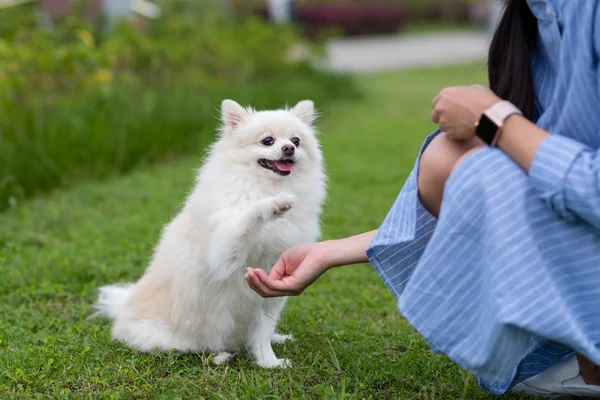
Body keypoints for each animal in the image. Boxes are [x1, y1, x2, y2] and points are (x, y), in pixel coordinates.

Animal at [93, 98, 326, 368]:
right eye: (267, 140)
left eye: (296, 140)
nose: (288, 148)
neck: (265, 184)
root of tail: (122, 309)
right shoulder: (223, 253)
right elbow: (246, 216)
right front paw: (273, 204)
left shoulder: (270, 289)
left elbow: (263, 332)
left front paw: (269, 362)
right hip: (173, 338)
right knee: (191, 348)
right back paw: (220, 355)